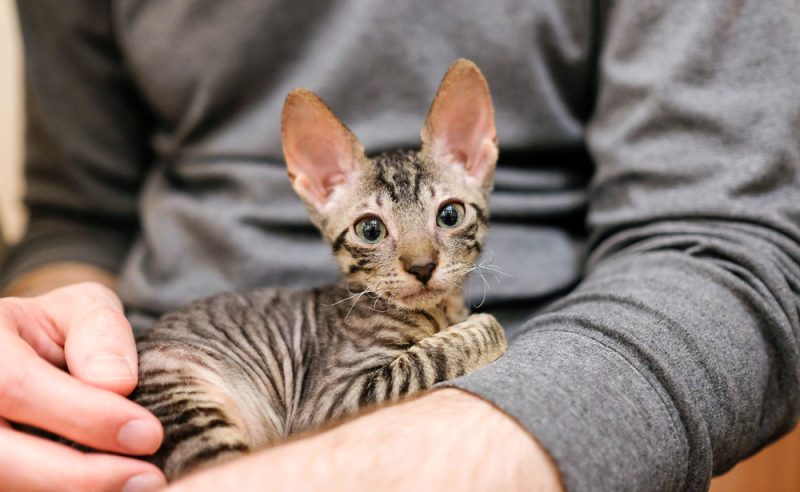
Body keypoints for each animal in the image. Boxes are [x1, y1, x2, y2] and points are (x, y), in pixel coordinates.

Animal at [131, 58, 506, 480]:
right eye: (371, 230)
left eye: (450, 215)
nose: (422, 266)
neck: (438, 310)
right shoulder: (333, 399)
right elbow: (441, 350)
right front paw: (480, 325)